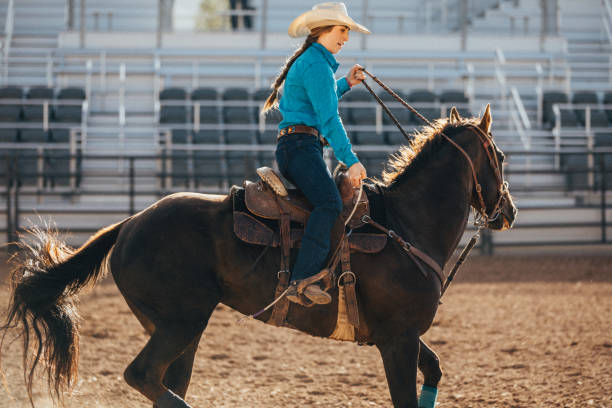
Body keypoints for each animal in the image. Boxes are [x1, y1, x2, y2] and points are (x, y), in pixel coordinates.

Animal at [0, 107, 516, 406]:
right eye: (502, 156)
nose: (508, 211)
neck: (406, 223)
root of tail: (129, 223)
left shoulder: (396, 336)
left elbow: (435, 368)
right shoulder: (398, 340)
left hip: (177, 328)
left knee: (162, 381)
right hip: (182, 322)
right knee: (143, 375)